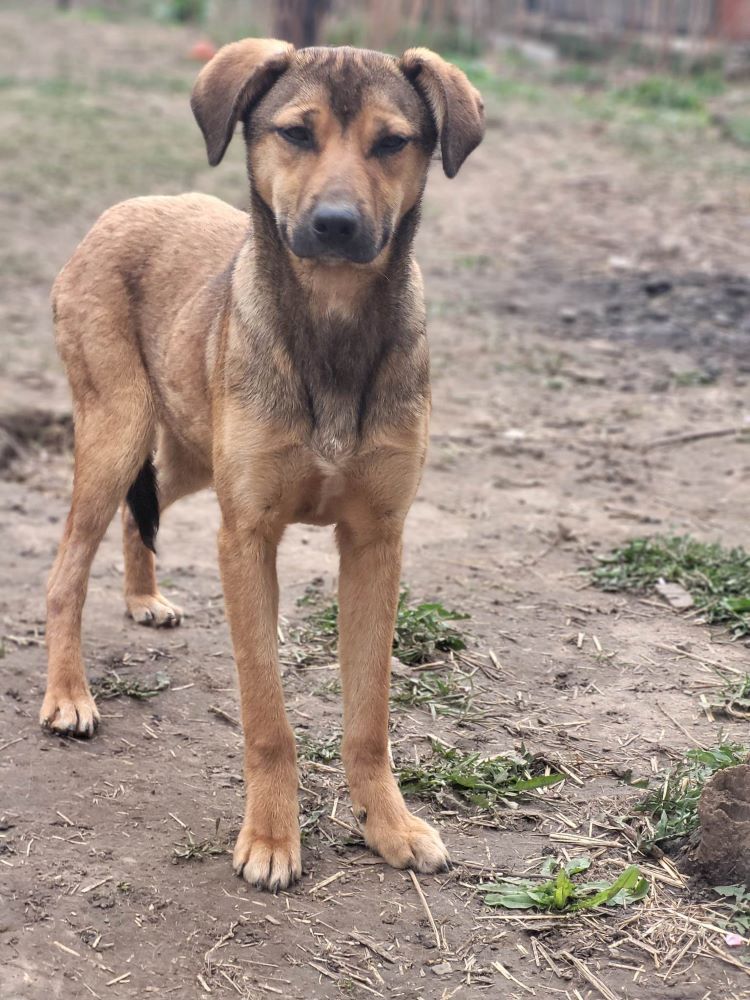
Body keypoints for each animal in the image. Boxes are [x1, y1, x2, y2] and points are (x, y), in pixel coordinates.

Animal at [42, 37, 488, 892]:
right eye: (296, 133)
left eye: (392, 142)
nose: (337, 225)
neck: (333, 325)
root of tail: (126, 207)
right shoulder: (246, 536)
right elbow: (266, 715)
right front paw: (273, 838)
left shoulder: (376, 541)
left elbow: (369, 715)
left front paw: (387, 824)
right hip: (117, 431)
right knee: (65, 568)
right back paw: (68, 695)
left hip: (186, 450)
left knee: (141, 510)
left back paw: (143, 599)